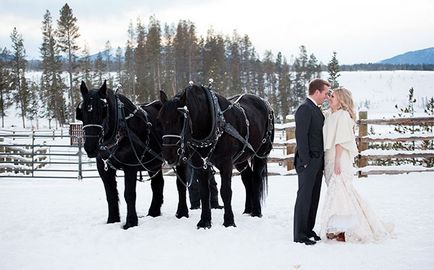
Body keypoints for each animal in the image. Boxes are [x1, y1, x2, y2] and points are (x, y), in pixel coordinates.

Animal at [77, 81, 189, 229]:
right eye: (82, 111)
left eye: (103, 110)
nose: (90, 147)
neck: (121, 129)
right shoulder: (104, 168)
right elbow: (111, 195)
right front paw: (112, 220)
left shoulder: (130, 166)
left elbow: (129, 194)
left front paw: (130, 222)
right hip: (152, 163)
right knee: (158, 184)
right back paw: (153, 212)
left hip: (179, 158)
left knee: (180, 184)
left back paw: (182, 212)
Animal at [159, 84, 274, 228]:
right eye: (160, 119)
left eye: (181, 119)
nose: (168, 154)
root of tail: (265, 104)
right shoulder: (200, 163)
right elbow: (204, 192)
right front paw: (204, 222)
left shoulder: (226, 163)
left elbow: (226, 191)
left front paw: (229, 221)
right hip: (240, 159)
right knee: (247, 178)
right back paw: (248, 209)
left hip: (261, 154)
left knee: (256, 179)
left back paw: (256, 212)